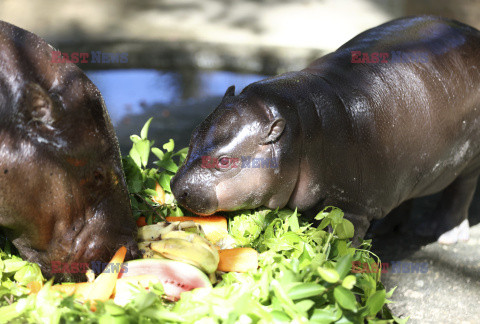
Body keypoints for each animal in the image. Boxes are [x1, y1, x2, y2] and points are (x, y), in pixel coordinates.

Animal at [172, 15, 480, 243]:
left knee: (461, 189)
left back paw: (442, 233)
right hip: (409, 165)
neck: (300, 129)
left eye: (225, 161)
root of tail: (472, 31)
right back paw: (387, 229)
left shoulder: (354, 206)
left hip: (469, 160)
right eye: (192, 137)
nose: (177, 187)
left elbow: (342, 238)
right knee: (405, 195)